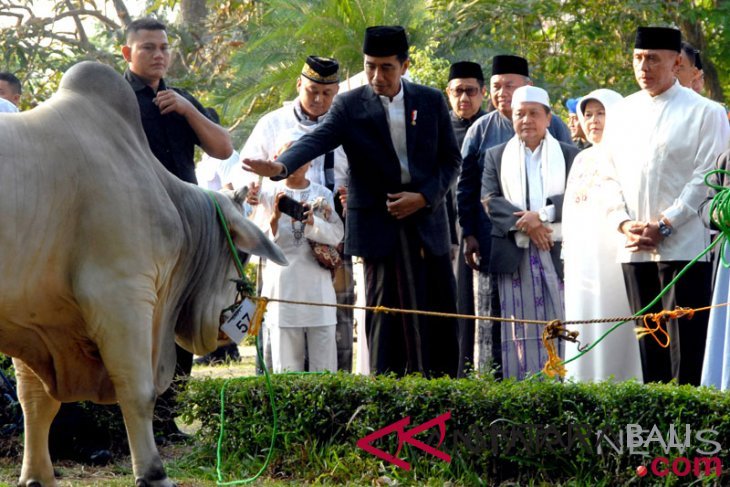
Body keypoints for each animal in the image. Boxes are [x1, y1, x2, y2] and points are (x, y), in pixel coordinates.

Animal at [0, 62, 286, 487]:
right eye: (244, 255)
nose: (231, 326)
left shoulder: (35, 313)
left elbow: (36, 402)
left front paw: (37, 477)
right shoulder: (122, 294)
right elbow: (138, 391)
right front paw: (153, 472)